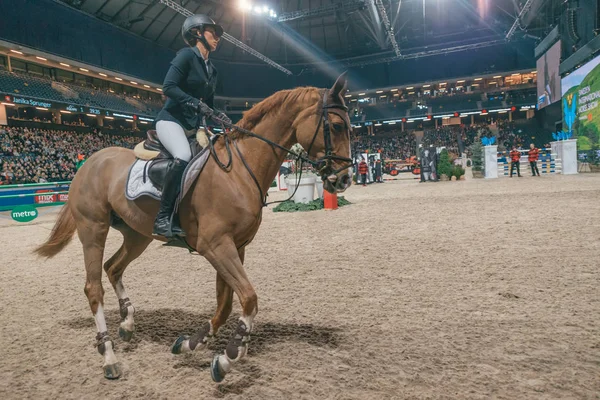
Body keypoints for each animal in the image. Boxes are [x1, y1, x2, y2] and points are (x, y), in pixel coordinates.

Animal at [34, 72, 352, 382]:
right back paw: (109, 358)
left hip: (137, 235)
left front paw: (192, 343)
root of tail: (90, 162)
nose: (344, 179)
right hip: (93, 230)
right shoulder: (216, 245)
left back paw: (127, 323)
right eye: (337, 126)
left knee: (113, 267)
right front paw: (230, 354)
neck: (239, 169)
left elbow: (226, 303)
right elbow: (249, 297)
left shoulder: (236, 246)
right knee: (93, 288)